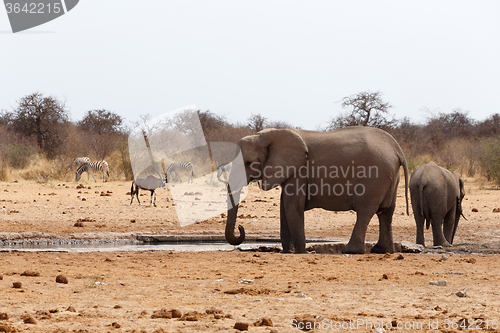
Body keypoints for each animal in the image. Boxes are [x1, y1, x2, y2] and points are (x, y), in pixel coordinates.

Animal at [225, 127, 408, 254]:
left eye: (249, 163)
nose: (240, 227)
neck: (268, 135)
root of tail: (397, 150)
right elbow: (284, 206)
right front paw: (288, 252)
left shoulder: (300, 169)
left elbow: (292, 206)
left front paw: (301, 252)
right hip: (390, 177)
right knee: (386, 212)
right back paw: (382, 251)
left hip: (375, 177)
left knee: (365, 211)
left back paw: (351, 251)